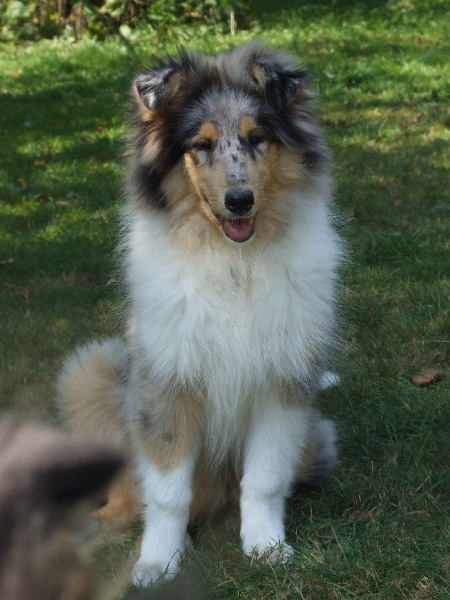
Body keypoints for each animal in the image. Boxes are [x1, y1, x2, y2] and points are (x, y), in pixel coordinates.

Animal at [57, 43, 342, 587]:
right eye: (201, 145)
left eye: (256, 139)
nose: (240, 201)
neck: (234, 261)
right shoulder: (166, 382)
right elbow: (166, 490)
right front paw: (157, 562)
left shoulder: (284, 381)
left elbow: (265, 478)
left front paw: (266, 548)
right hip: (93, 370)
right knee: (126, 500)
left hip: (317, 434)